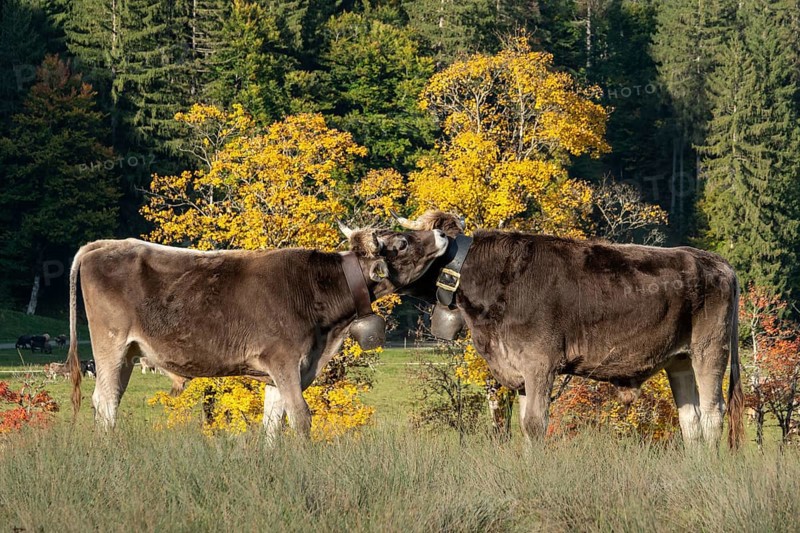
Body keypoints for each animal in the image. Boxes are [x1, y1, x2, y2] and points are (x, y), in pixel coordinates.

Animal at [67, 231, 448, 435]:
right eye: (402, 242)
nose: (443, 233)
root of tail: (102, 244)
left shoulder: (278, 372)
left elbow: (272, 422)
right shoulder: (285, 361)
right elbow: (300, 417)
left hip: (128, 354)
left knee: (110, 400)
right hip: (110, 346)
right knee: (105, 401)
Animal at [378, 211, 744, 449]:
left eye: (403, 242)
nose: (376, 245)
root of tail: (715, 261)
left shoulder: (540, 362)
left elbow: (535, 425)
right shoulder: (519, 369)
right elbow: (525, 426)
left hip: (710, 349)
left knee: (713, 415)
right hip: (678, 359)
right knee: (690, 420)